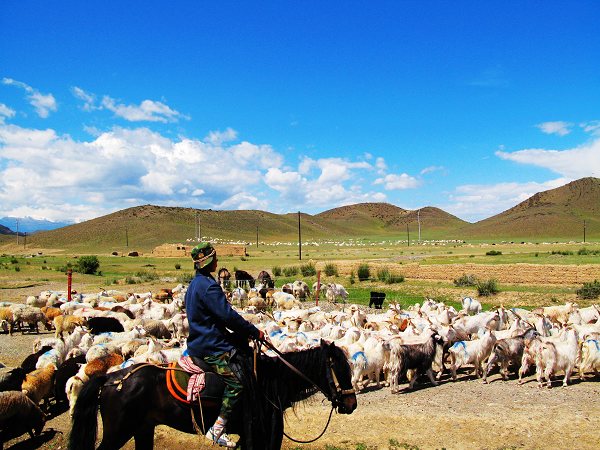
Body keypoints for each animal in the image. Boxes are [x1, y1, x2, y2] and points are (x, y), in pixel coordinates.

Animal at [68, 342, 356, 450]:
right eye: (340, 370)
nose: (351, 404)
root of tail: (110, 378)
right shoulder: (258, 435)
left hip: (143, 429)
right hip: (118, 431)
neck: (271, 381)